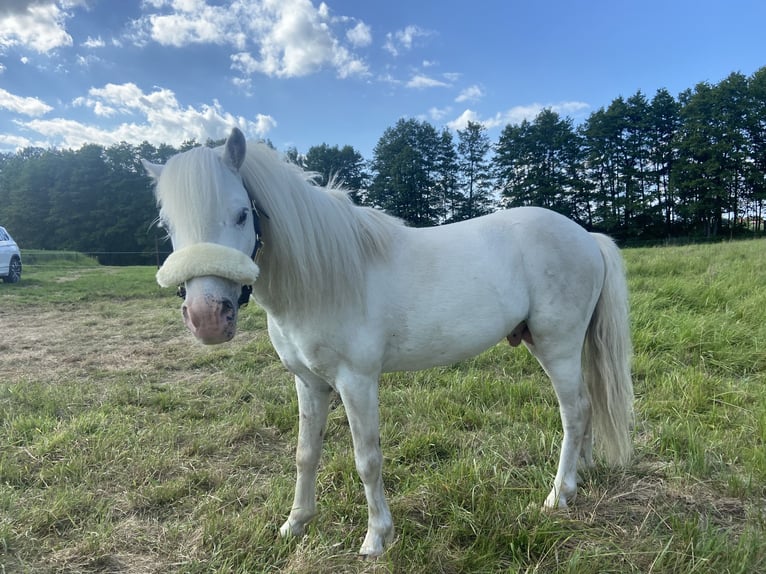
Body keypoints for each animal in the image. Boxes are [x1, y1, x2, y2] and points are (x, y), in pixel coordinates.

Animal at [142, 127, 633, 557]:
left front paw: (377, 537)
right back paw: (581, 475)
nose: (207, 318)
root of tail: (586, 235)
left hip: (557, 345)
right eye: (167, 224)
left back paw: (559, 494)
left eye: (242, 214)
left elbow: (367, 459)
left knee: (575, 411)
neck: (327, 278)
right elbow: (305, 453)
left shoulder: (357, 381)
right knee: (586, 405)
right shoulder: (308, 382)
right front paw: (295, 524)